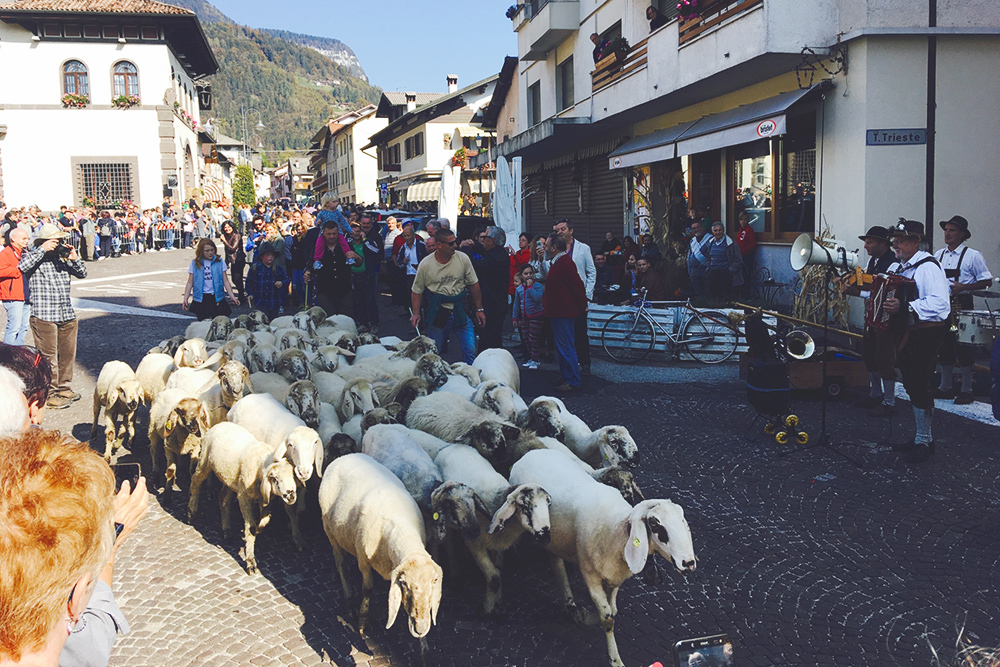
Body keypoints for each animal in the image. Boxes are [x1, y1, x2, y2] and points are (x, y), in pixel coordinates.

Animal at [187, 426, 296, 576]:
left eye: (294, 475)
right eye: (274, 479)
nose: (291, 495)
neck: (261, 463)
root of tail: (218, 425)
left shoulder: (266, 499)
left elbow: (265, 520)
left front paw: (259, 529)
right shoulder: (244, 497)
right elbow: (250, 528)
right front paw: (251, 562)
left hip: (230, 479)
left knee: (223, 499)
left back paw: (227, 531)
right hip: (204, 462)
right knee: (195, 481)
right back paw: (191, 512)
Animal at [318, 454, 440, 664]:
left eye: (434, 582)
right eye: (404, 583)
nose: (421, 627)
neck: (402, 530)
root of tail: (344, 456)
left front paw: (425, 652)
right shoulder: (363, 559)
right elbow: (367, 589)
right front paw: (362, 625)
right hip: (330, 531)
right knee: (341, 564)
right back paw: (350, 603)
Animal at [508, 448, 696, 667]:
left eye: (682, 520)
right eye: (655, 523)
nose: (689, 563)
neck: (616, 531)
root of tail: (532, 452)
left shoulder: (615, 577)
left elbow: (613, 610)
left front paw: (585, 615)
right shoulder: (591, 576)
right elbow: (607, 617)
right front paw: (615, 658)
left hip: (554, 539)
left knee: (556, 560)